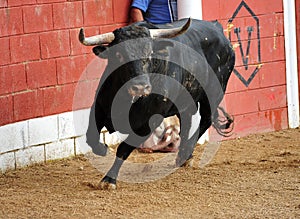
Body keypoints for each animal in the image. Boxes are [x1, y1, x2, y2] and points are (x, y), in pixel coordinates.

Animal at [80, 18, 237, 188]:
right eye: (119, 55)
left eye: (150, 54)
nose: (140, 87)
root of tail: (216, 27)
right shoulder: (99, 108)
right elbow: (91, 137)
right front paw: (103, 149)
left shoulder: (147, 124)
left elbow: (123, 149)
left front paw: (109, 180)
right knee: (187, 122)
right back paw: (184, 156)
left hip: (214, 93)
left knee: (205, 120)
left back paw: (185, 153)